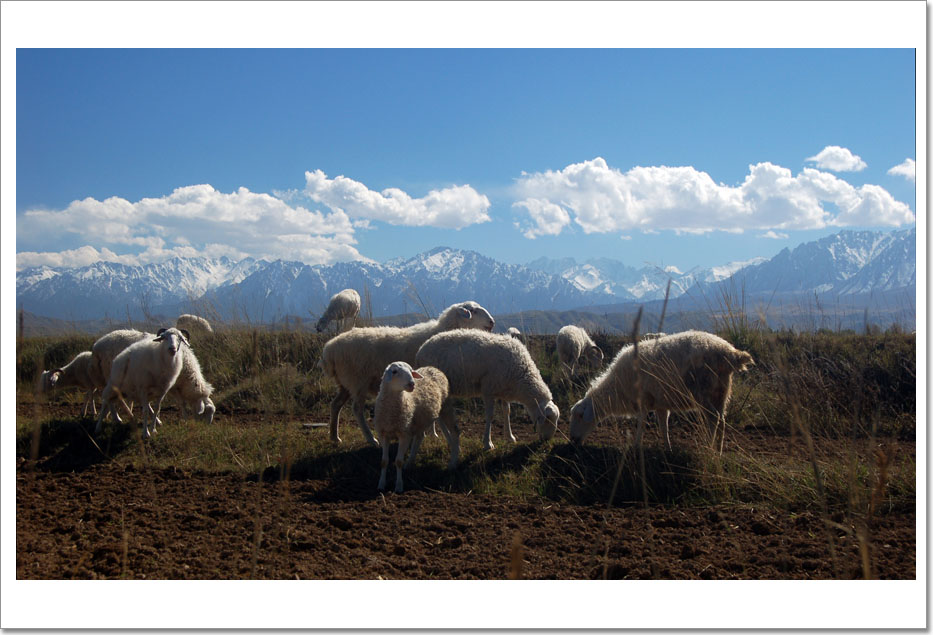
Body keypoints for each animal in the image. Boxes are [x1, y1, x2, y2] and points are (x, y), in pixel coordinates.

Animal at [320, 300, 496, 444]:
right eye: (473, 310)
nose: (492, 322)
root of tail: (329, 349)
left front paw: (432, 433)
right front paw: (432, 433)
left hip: (345, 383)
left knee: (335, 405)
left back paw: (334, 436)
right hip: (358, 381)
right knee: (356, 409)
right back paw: (371, 439)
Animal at [372, 362, 448, 492]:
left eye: (411, 371)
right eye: (394, 371)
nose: (412, 384)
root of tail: (432, 367)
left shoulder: (404, 434)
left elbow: (398, 461)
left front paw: (399, 486)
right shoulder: (383, 433)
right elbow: (384, 461)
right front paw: (381, 484)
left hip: (434, 413)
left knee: (422, 435)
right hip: (420, 421)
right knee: (420, 436)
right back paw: (410, 461)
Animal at [416, 328, 560, 468]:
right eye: (548, 420)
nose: (547, 440)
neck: (521, 376)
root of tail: (421, 350)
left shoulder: (503, 389)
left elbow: (506, 411)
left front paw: (510, 437)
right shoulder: (488, 390)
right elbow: (490, 416)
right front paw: (488, 444)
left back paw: (440, 436)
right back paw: (449, 439)